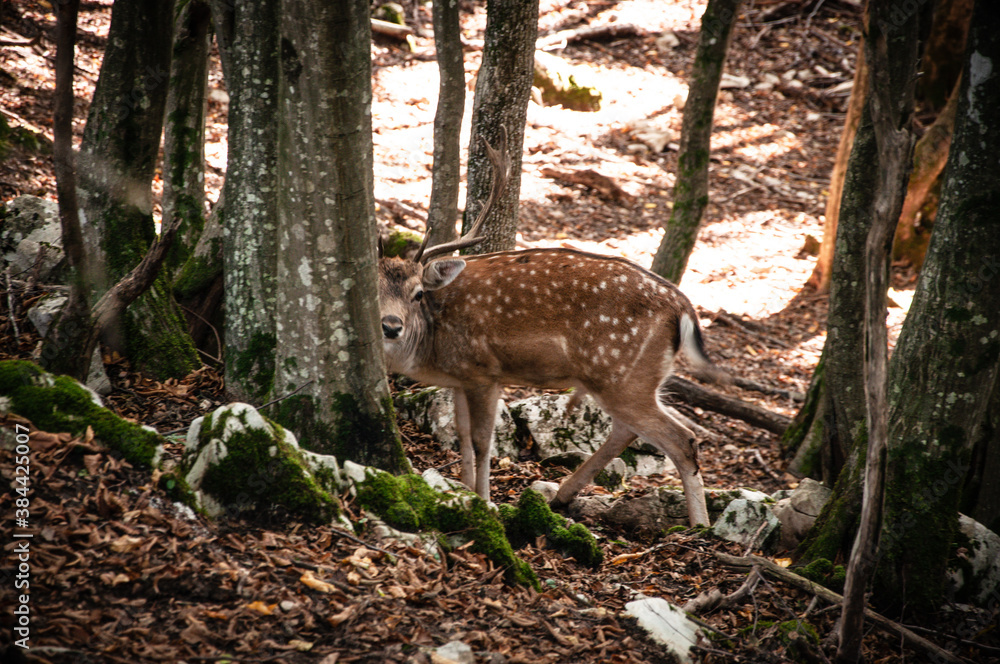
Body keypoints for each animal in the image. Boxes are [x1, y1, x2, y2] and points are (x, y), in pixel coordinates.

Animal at [376, 130, 728, 528]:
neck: (432, 345)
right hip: (628, 378)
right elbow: (462, 436)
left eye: (417, 293)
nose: (391, 326)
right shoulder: (461, 379)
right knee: (628, 430)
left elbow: (482, 441)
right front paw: (465, 491)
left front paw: (484, 500)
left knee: (681, 440)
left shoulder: (485, 371)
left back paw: (700, 526)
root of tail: (683, 307)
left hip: (623, 373)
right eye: (371, 288)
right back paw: (562, 495)